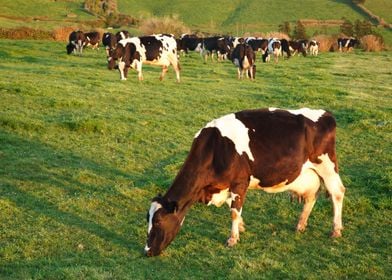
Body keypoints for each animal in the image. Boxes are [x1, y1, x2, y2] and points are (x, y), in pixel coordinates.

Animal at [145, 108, 346, 258]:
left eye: (158, 222)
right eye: (147, 219)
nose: (147, 251)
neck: (214, 148)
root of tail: (326, 114)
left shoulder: (240, 182)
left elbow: (234, 211)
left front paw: (233, 238)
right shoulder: (227, 186)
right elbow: (232, 207)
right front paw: (240, 228)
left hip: (327, 166)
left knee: (337, 193)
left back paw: (336, 230)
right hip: (309, 174)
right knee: (311, 197)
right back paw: (300, 225)